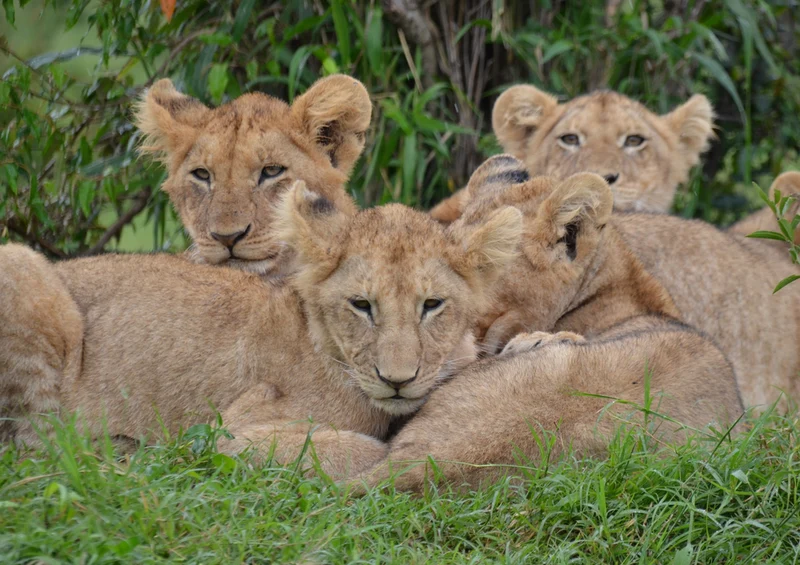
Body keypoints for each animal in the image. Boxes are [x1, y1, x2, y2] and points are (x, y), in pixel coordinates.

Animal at [0, 180, 523, 478]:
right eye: (361, 305)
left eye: (432, 305)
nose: (398, 380)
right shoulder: (226, 433)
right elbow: (355, 450)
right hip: (20, 263)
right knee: (33, 446)